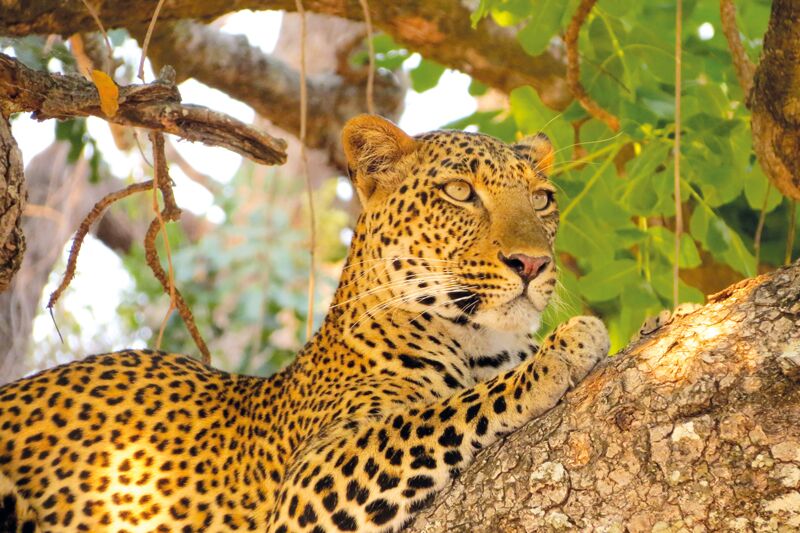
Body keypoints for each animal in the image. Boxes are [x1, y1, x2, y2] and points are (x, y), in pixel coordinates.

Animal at [0, 115, 610, 533]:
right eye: (460, 192)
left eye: (543, 199)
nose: (532, 264)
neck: (485, 343)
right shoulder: (309, 484)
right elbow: (440, 412)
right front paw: (559, 352)